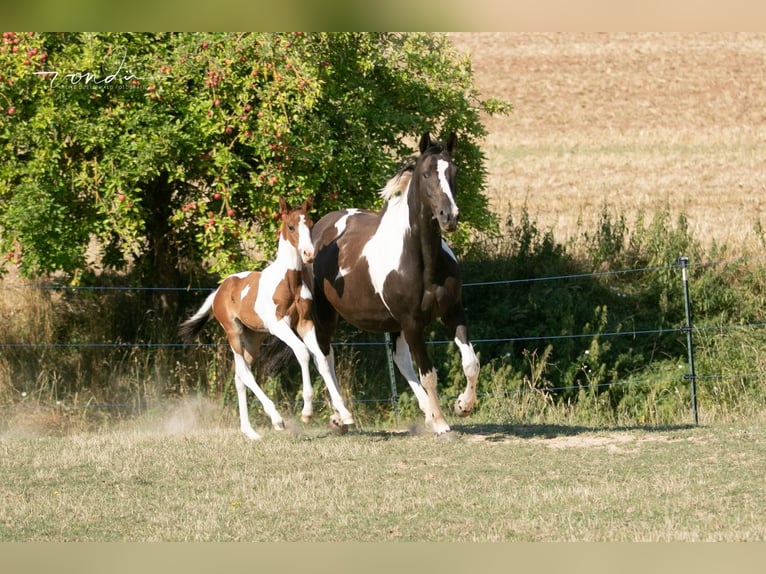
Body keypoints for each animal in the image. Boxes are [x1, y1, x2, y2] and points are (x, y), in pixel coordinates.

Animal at [181, 198, 356, 440]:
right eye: (291, 227)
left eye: (310, 225)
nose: (308, 254)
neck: (289, 282)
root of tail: (219, 290)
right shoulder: (278, 326)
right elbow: (302, 353)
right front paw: (306, 412)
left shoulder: (305, 324)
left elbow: (320, 359)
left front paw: (345, 414)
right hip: (234, 333)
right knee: (245, 373)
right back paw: (276, 419)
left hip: (253, 338)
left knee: (239, 376)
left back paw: (250, 431)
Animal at [308, 132, 480, 436]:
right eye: (426, 174)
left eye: (454, 172)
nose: (449, 216)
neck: (423, 262)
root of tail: (322, 227)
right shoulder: (412, 323)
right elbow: (429, 374)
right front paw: (442, 423)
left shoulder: (452, 312)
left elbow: (470, 362)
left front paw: (462, 406)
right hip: (325, 315)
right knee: (324, 357)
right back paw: (342, 416)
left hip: (393, 324)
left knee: (399, 360)